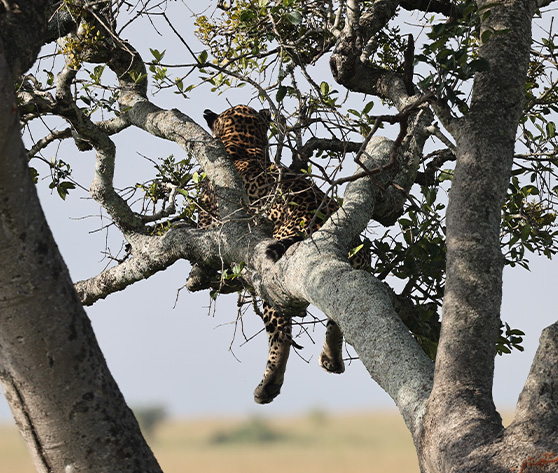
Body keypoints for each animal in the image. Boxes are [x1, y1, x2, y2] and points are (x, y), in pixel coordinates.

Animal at [199, 105, 370, 404]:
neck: (243, 146)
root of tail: (318, 219)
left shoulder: (208, 220)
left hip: (272, 278)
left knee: (281, 332)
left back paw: (269, 383)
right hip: (354, 261)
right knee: (340, 304)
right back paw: (331, 357)